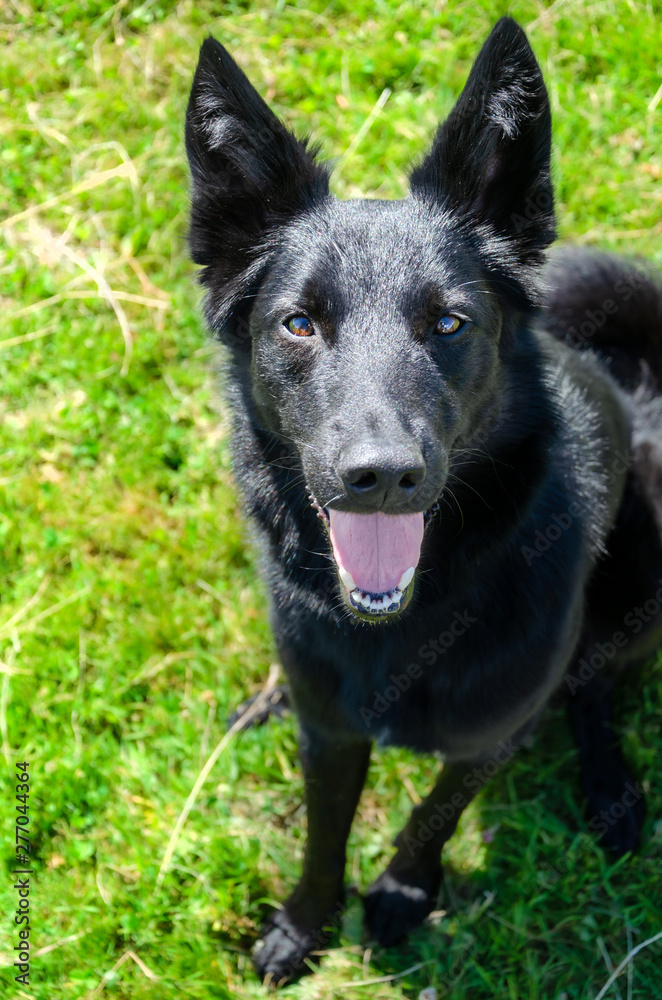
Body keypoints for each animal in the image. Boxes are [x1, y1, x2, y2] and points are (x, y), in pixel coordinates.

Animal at [184, 17, 660, 984]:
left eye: (448, 322)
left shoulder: (487, 739)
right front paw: (306, 922)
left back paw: (610, 787)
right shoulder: (331, 735)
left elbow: (430, 814)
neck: (407, 624)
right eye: (299, 323)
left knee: (594, 689)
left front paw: (402, 893)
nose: (383, 476)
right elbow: (324, 833)